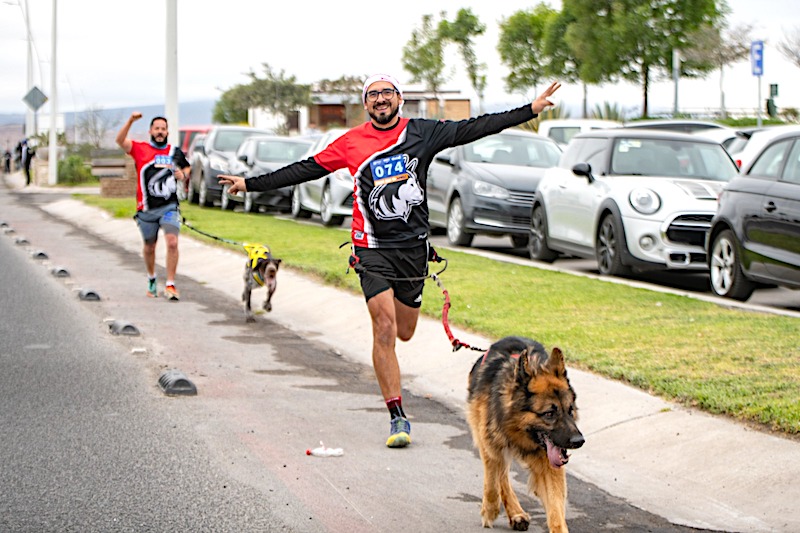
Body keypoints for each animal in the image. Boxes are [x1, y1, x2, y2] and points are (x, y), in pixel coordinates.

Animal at [466, 336, 584, 532]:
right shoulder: (490, 444)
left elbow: (555, 507)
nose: (579, 441)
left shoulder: (549, 463)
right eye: (549, 414)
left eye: (570, 410)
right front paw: (490, 509)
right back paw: (514, 512)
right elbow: (492, 481)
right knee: (501, 475)